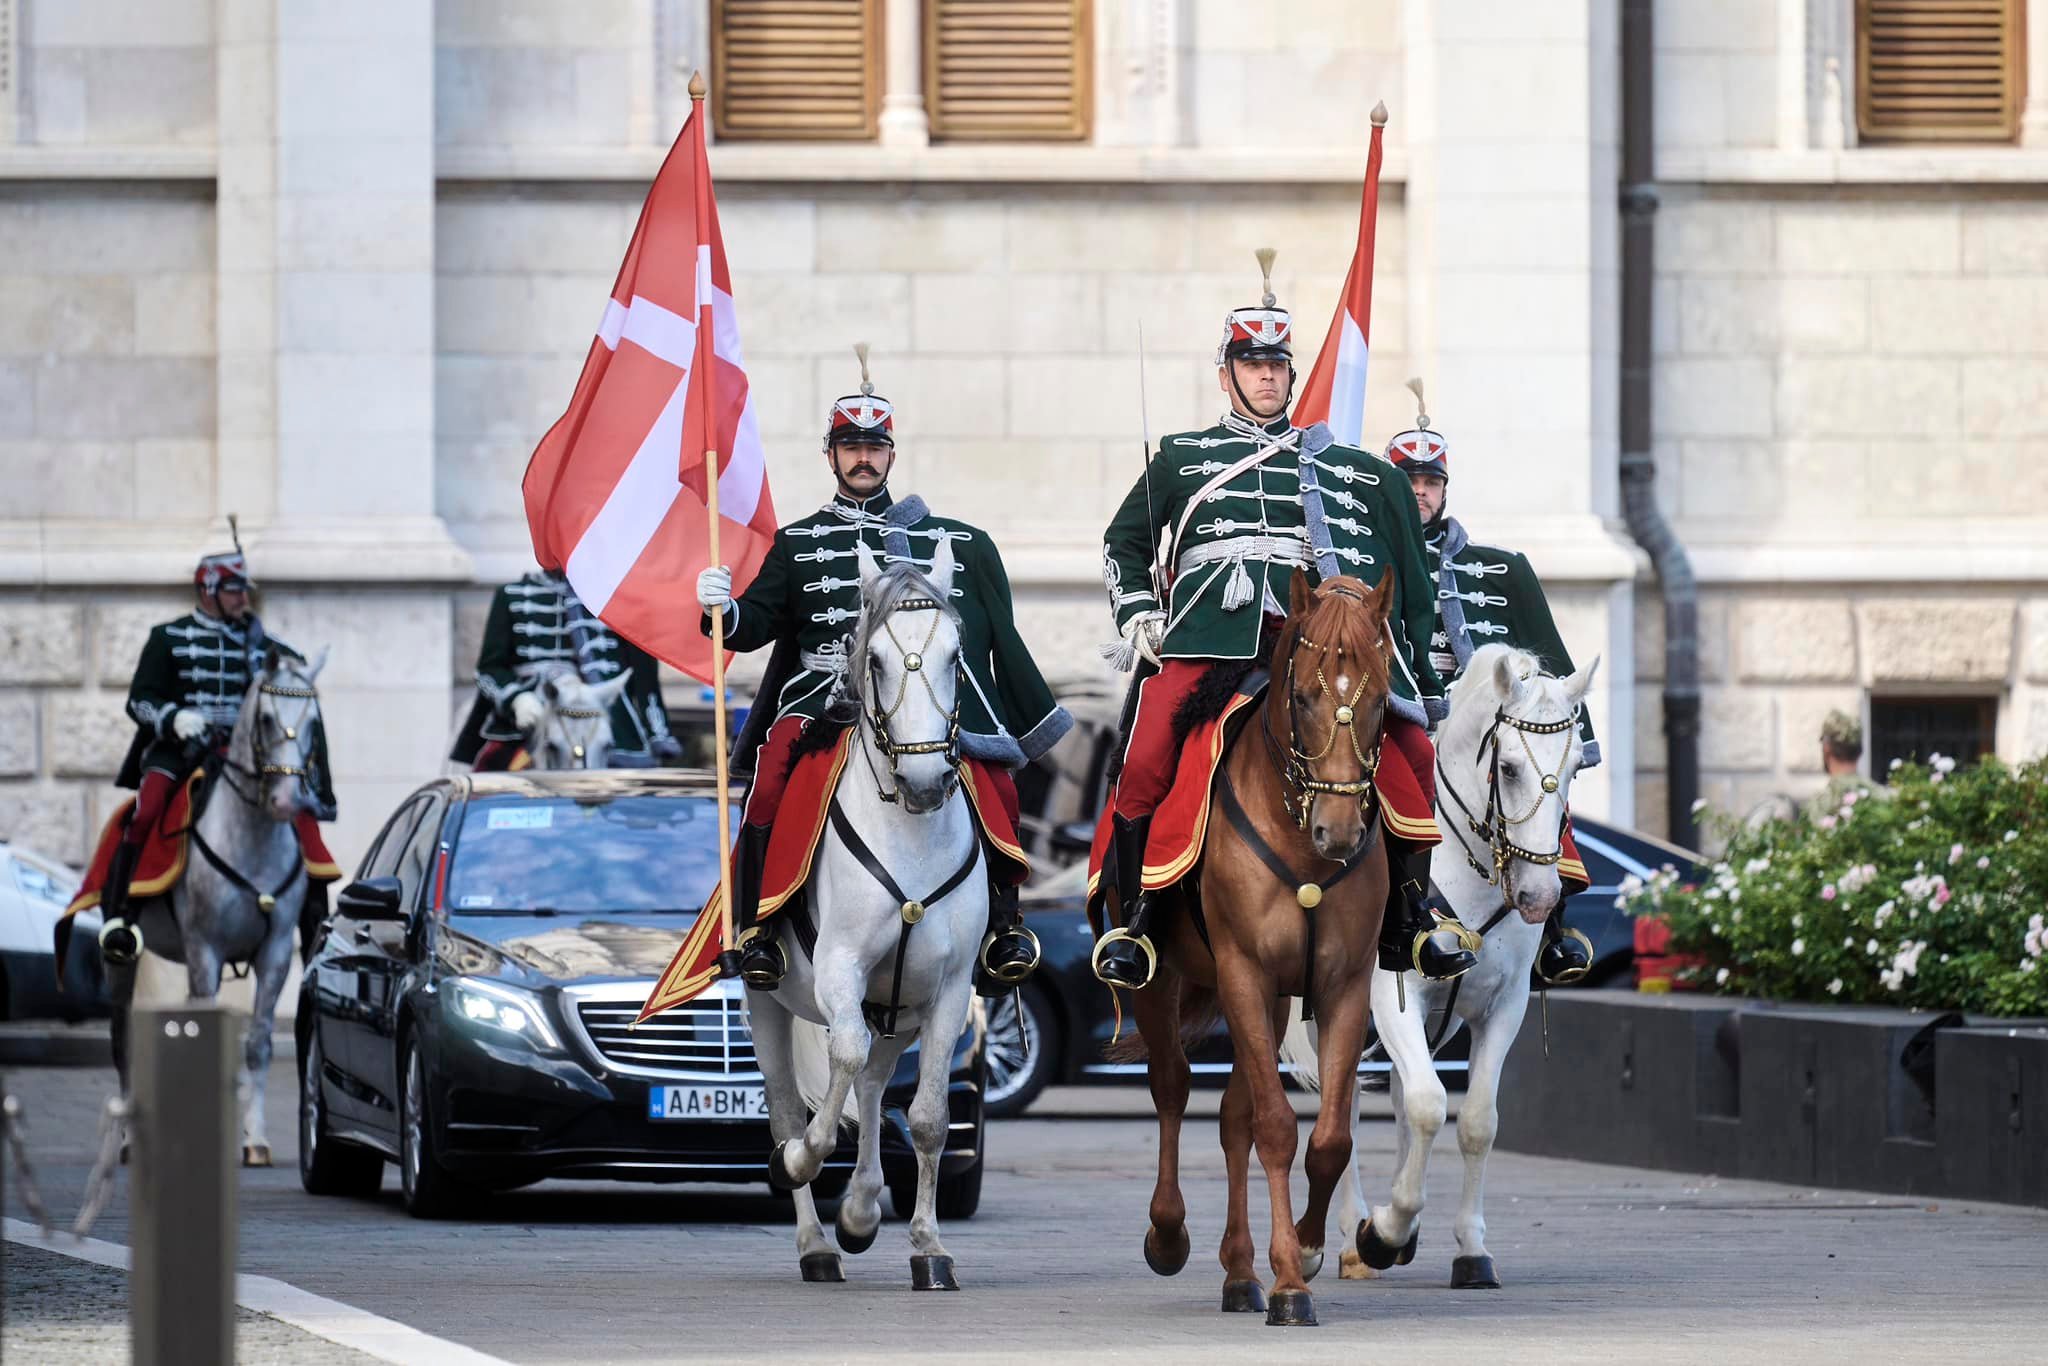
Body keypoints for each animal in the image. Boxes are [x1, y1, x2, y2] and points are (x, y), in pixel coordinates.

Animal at [112, 651, 331, 1163]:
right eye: (266, 718)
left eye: (313, 721)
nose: (288, 801)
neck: (251, 838)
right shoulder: (204, 947)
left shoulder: (275, 953)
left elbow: (258, 1042)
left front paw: (255, 1139)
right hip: (124, 961)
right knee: (122, 1041)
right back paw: (129, 1137)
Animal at [749, 536, 987, 1294]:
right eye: (876, 659)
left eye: (955, 656)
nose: (925, 781)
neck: (909, 835)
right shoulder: (841, 969)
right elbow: (838, 1065)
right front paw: (803, 1160)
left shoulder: (950, 990)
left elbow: (930, 1116)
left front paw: (928, 1247)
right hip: (768, 1003)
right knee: (792, 1103)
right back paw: (816, 1242)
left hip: (898, 1009)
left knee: (877, 1087)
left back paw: (857, 1210)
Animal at [1130, 565, 1400, 1327]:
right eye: (1304, 696)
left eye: (1382, 699)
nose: (1338, 833)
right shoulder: (1244, 972)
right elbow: (1279, 1127)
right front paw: (1288, 1284)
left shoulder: (1343, 984)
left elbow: (1328, 1138)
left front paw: (1301, 1252)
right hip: (1168, 983)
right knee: (1173, 1087)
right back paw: (1169, 1233)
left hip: (1276, 998)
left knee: (1232, 1118)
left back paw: (1238, 1270)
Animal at [1277, 647, 1597, 1286]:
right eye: (1509, 770)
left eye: (1576, 766)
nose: (1541, 897)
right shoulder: (1390, 994)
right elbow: (1428, 1106)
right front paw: (1382, 1231)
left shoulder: (1503, 1007)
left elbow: (1473, 1119)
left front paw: (1468, 1248)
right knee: (1347, 1103)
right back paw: (1344, 1236)